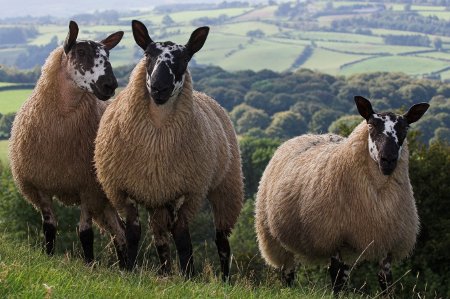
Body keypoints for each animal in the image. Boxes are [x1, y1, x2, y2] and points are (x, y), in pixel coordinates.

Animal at [8, 21, 128, 270]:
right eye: (80, 52)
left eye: (108, 54)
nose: (110, 84)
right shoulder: (40, 185)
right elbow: (49, 226)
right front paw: (48, 258)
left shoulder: (87, 187)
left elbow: (85, 232)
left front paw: (90, 266)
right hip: (104, 201)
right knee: (119, 231)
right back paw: (125, 269)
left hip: (106, 195)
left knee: (122, 231)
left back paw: (128, 269)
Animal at [93, 19, 244, 280]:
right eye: (148, 54)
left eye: (185, 58)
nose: (159, 87)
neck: (157, 137)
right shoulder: (122, 190)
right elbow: (133, 233)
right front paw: (129, 270)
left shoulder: (187, 191)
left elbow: (182, 236)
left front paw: (189, 276)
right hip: (157, 197)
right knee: (160, 237)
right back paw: (164, 273)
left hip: (226, 186)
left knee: (221, 240)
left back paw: (225, 279)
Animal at [256, 96, 428, 296]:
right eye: (371, 125)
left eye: (405, 128)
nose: (388, 159)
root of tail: (305, 135)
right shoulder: (333, 238)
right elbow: (336, 282)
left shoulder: (386, 243)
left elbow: (386, 283)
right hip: (276, 240)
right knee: (288, 274)